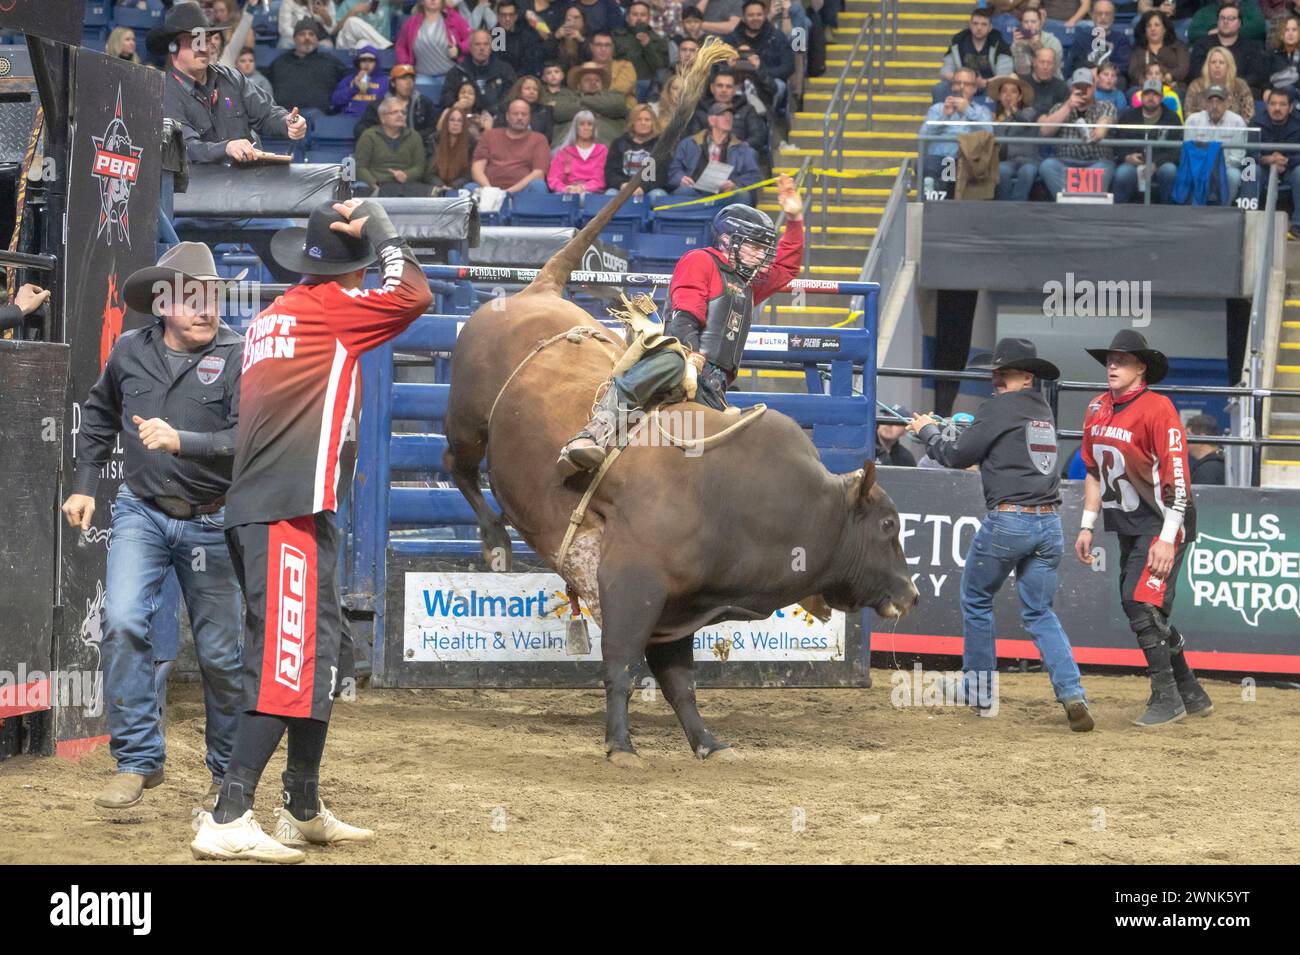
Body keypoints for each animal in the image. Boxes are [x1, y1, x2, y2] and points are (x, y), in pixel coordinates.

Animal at [444, 41, 915, 764]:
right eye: (888, 527)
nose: (913, 592)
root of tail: (539, 288)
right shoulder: (632, 584)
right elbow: (619, 663)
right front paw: (619, 744)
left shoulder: (679, 610)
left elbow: (679, 682)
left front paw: (707, 743)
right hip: (467, 421)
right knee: (460, 468)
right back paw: (499, 537)